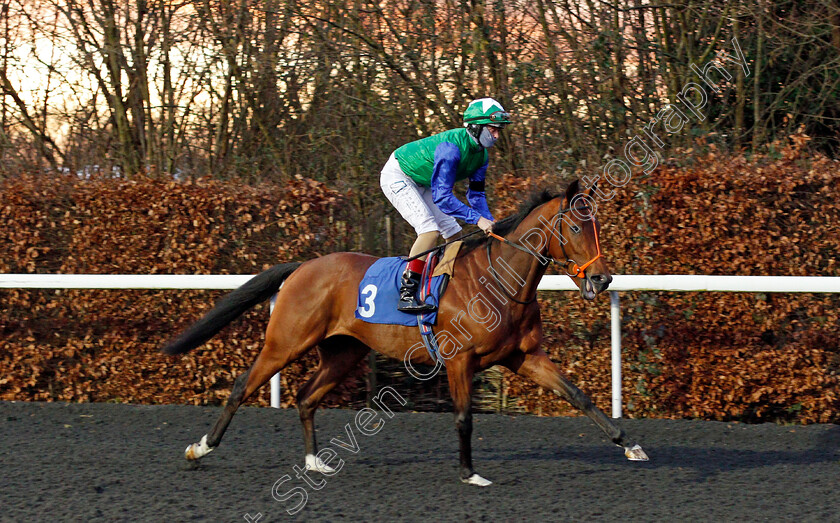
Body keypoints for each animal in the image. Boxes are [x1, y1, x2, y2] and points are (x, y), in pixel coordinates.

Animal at [164, 180, 648, 488]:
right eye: (575, 227)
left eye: (597, 226)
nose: (603, 279)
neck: (499, 281)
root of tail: (303, 265)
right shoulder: (458, 360)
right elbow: (463, 417)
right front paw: (470, 473)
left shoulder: (524, 356)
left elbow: (579, 396)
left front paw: (630, 446)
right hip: (285, 341)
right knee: (241, 386)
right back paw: (199, 449)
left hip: (343, 352)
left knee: (305, 397)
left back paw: (315, 462)